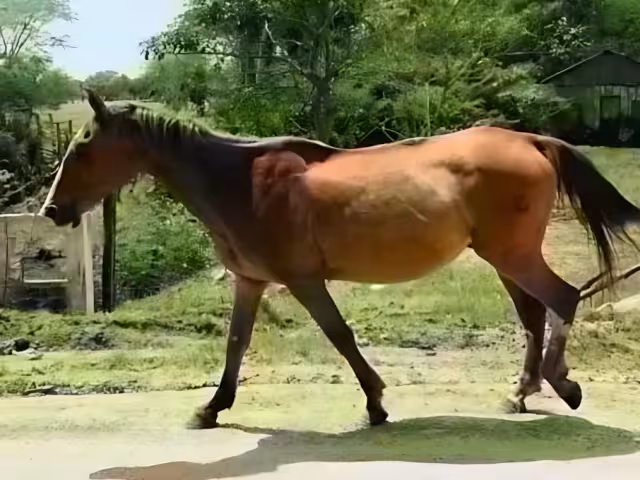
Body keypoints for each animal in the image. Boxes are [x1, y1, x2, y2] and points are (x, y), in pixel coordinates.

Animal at [40, 89, 640, 428]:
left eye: (83, 146)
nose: (51, 209)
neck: (240, 181)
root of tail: (533, 140)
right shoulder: (250, 282)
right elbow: (236, 343)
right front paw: (211, 408)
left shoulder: (303, 280)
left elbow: (340, 336)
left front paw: (376, 404)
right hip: (505, 257)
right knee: (535, 313)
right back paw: (520, 394)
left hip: (511, 254)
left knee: (562, 298)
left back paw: (561, 386)